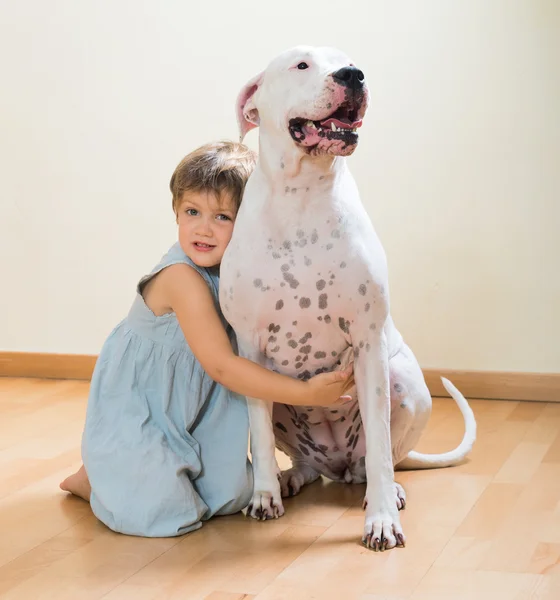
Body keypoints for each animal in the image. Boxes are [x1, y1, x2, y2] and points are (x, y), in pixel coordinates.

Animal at [220, 47, 476, 552]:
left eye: (349, 59)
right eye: (301, 64)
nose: (353, 75)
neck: (302, 195)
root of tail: (337, 466)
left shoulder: (368, 342)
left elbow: (379, 446)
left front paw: (381, 520)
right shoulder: (250, 349)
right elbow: (259, 437)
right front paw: (263, 495)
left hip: (405, 383)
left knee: (381, 458)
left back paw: (388, 490)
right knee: (304, 462)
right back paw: (291, 479)